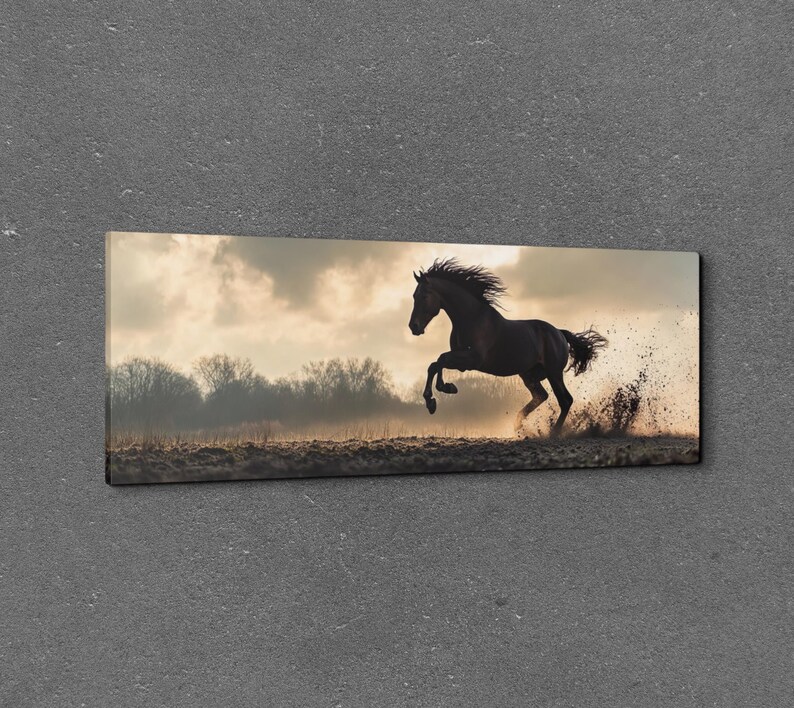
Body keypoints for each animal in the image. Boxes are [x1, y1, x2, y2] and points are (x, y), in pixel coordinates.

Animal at [408, 258, 608, 435]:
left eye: (424, 296)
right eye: (414, 296)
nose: (413, 327)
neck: (471, 318)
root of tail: (559, 332)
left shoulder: (472, 359)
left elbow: (440, 360)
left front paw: (441, 391)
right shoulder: (461, 359)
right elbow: (435, 363)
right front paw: (435, 397)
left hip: (554, 373)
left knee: (565, 400)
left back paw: (552, 433)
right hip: (529, 374)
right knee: (542, 396)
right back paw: (518, 424)